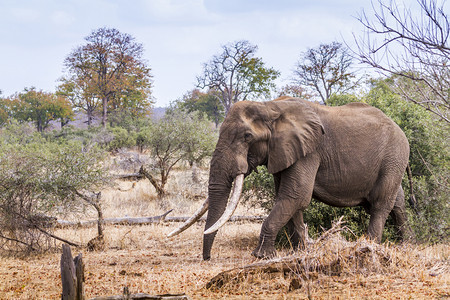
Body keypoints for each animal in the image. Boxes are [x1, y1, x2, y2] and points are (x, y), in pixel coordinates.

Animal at [168, 96, 412, 260]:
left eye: (247, 136)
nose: (207, 258)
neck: (270, 107)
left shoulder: (310, 151)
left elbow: (295, 195)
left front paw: (261, 257)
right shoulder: (282, 152)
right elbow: (289, 198)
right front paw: (300, 251)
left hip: (394, 156)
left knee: (380, 204)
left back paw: (370, 247)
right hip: (393, 162)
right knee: (397, 201)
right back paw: (406, 244)